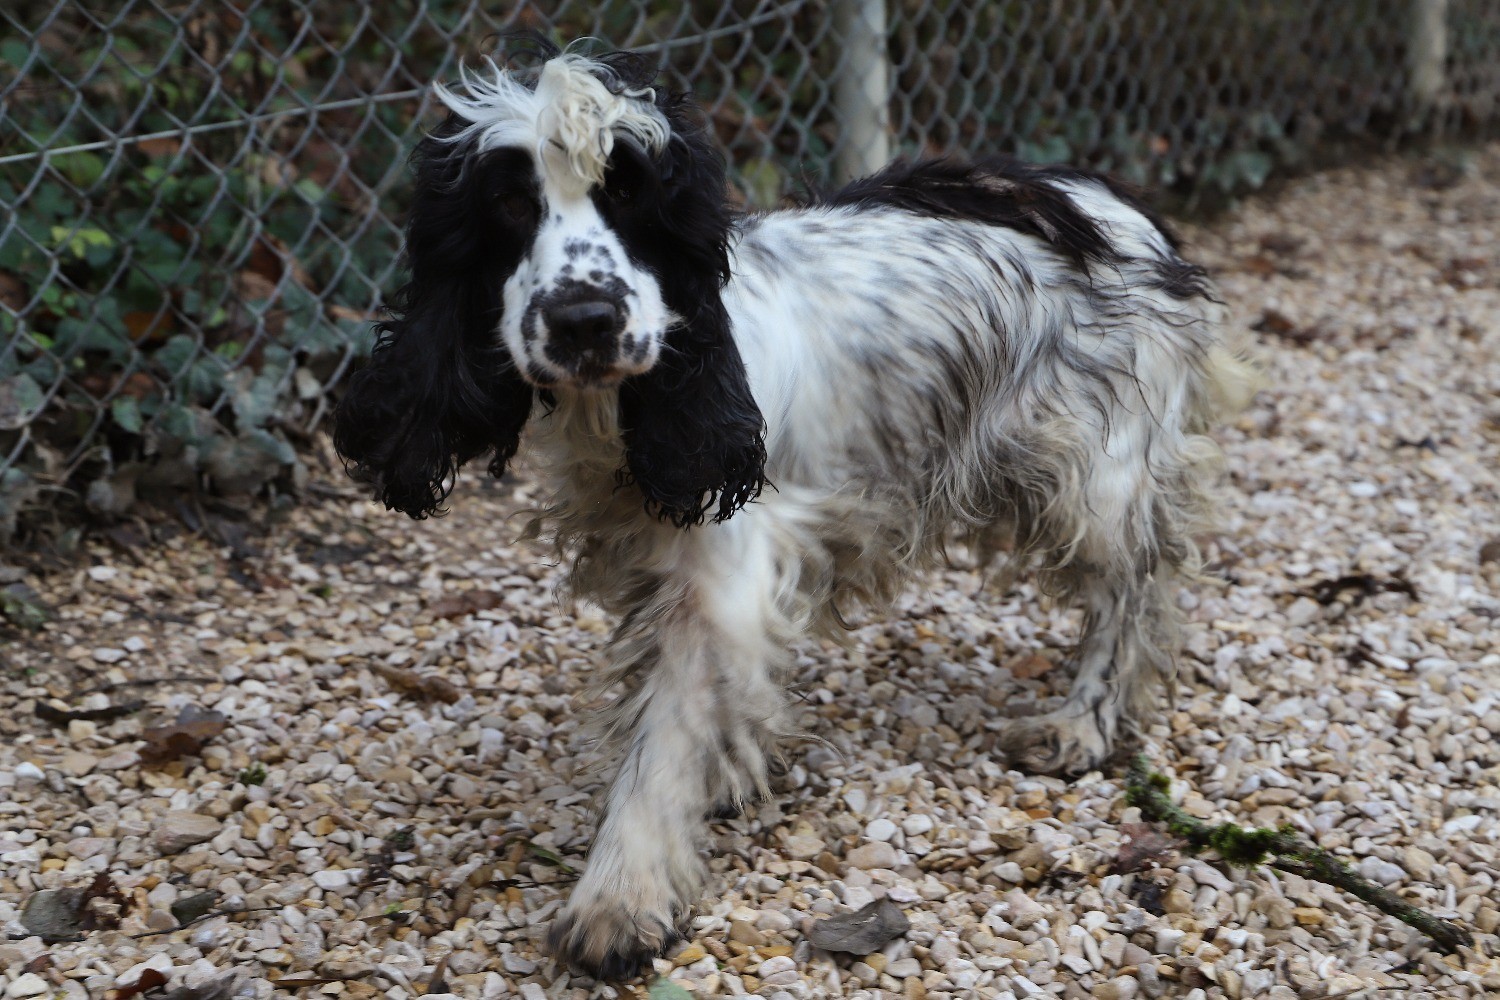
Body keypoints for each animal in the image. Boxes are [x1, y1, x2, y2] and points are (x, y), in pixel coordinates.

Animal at [334, 44, 1260, 977]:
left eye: (632, 197)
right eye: (511, 204)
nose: (584, 319)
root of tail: (1111, 205)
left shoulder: (720, 579)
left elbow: (663, 743)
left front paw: (618, 899)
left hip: (1096, 477)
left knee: (1131, 591)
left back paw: (1081, 726)